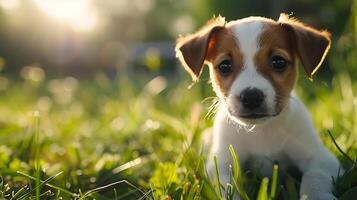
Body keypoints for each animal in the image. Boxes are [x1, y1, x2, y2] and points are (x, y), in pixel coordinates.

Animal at [175, 14, 340, 200]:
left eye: (278, 62)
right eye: (225, 66)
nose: (251, 97)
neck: (262, 131)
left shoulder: (321, 158)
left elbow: (314, 177)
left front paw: (317, 195)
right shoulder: (221, 164)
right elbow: (226, 187)